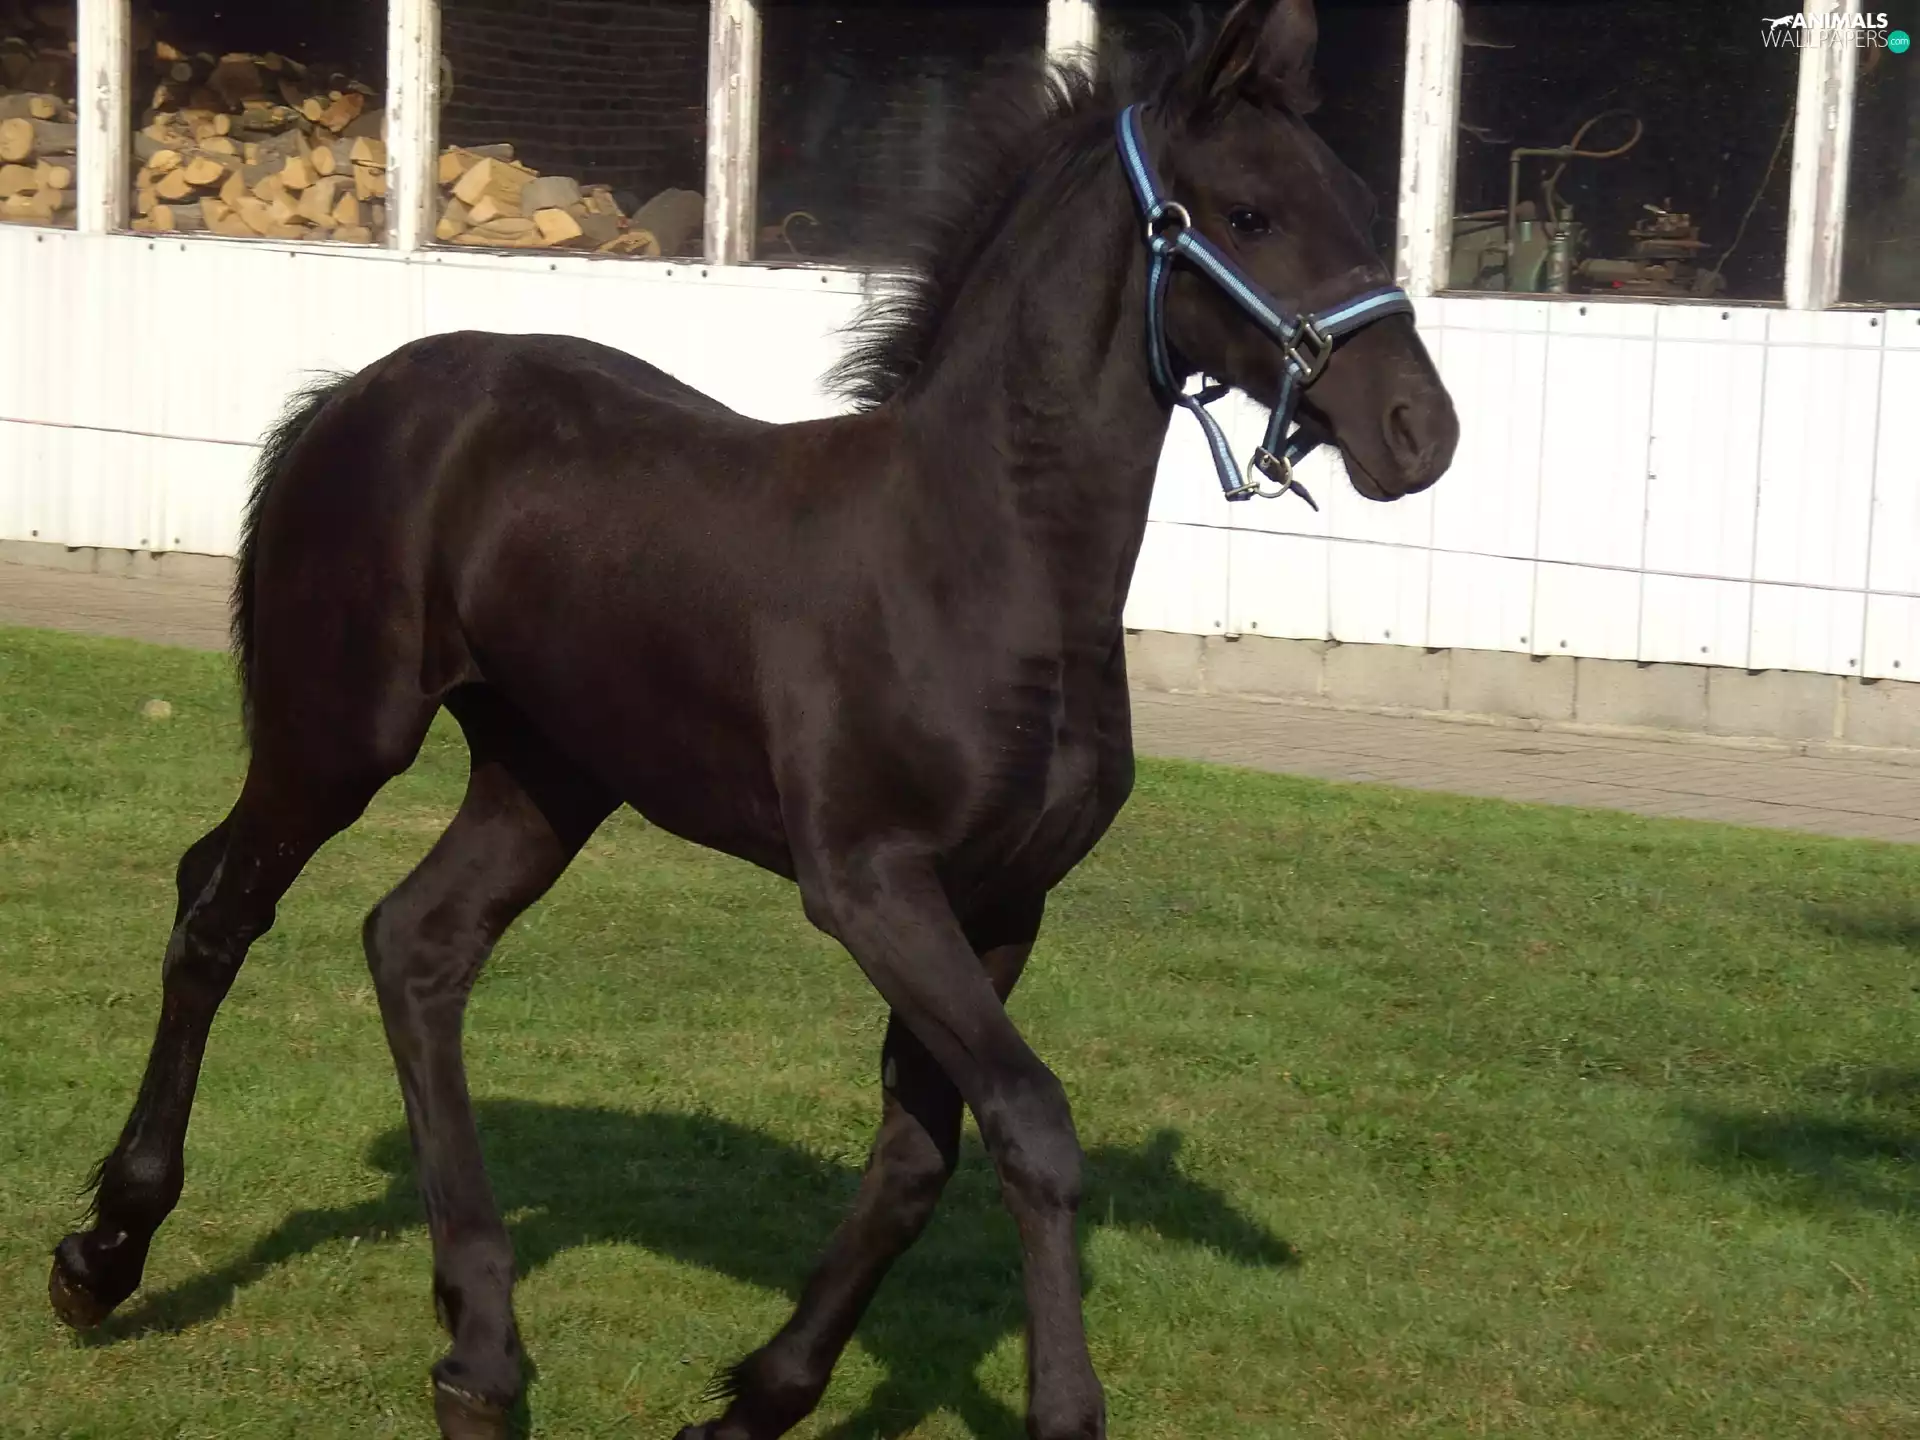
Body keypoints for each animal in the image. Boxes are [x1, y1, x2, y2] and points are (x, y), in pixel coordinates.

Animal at [48, 2, 1457, 1436]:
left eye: (1359, 203)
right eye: (1247, 213)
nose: (1420, 431)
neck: (978, 558)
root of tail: (354, 393)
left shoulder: (1002, 903)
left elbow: (915, 1160)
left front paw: (753, 1400)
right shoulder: (871, 886)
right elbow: (1033, 1126)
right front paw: (1063, 1409)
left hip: (546, 778)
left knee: (416, 946)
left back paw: (479, 1357)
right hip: (341, 729)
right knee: (219, 906)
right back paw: (106, 1253)